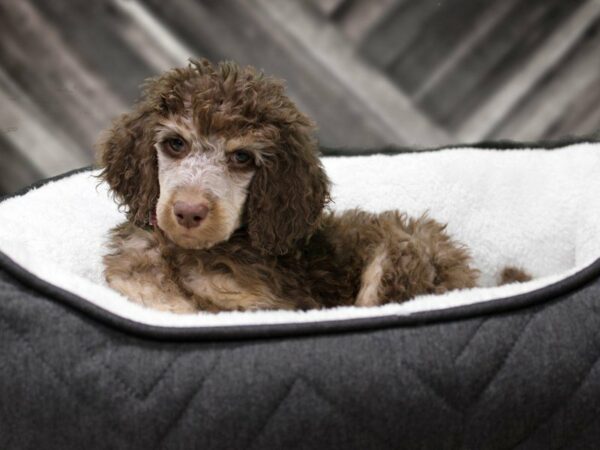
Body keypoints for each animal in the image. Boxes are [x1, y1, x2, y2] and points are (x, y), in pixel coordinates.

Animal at [99, 59, 478, 312]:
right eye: (176, 144)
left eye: (242, 158)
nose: (189, 212)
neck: (189, 255)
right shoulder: (135, 287)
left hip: (399, 251)